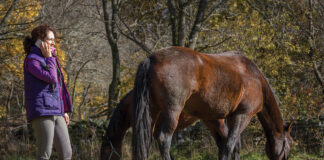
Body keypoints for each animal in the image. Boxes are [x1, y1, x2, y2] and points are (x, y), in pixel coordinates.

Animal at [131, 46, 294, 160]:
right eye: (289, 144)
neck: (256, 79)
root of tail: (151, 59)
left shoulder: (214, 118)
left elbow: (228, 146)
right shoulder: (242, 116)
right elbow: (230, 145)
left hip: (152, 112)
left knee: (146, 141)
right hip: (172, 112)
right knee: (164, 139)